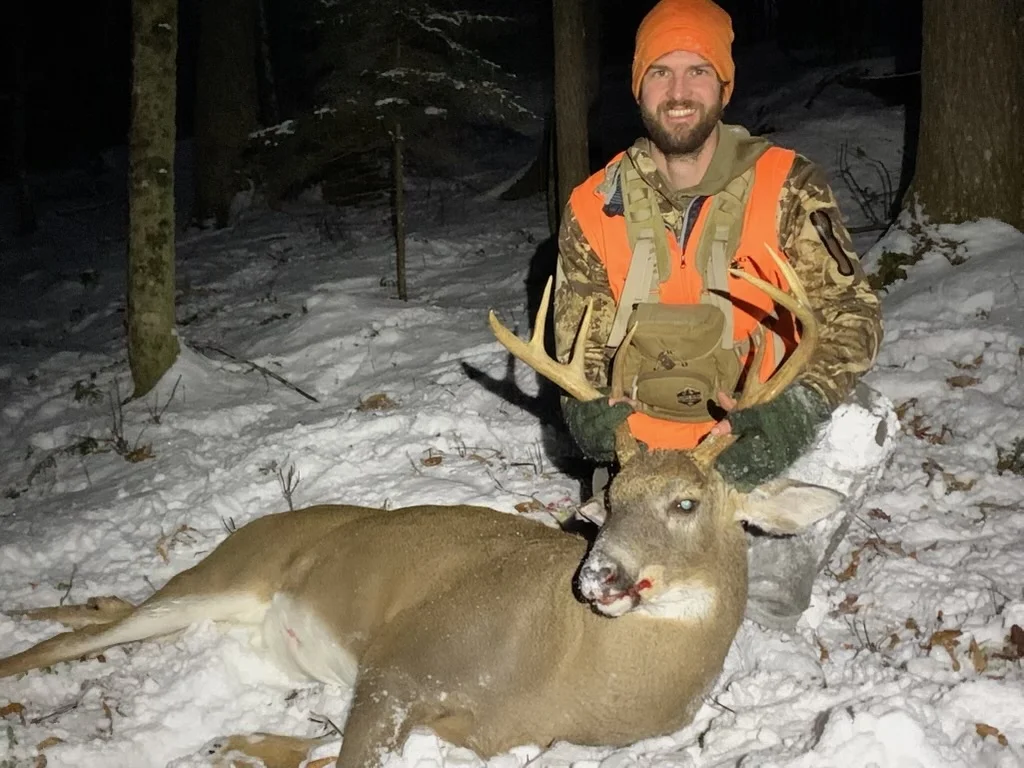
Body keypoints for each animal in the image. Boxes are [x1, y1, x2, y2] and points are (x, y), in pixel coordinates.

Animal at [0, 249, 839, 765]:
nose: (598, 575)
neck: (572, 672)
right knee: (76, 638)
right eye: (607, 501)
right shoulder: (403, 664)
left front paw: (234, 744)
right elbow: (347, 752)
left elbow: (318, 750)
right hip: (229, 573)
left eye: (686, 502)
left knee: (105, 613)